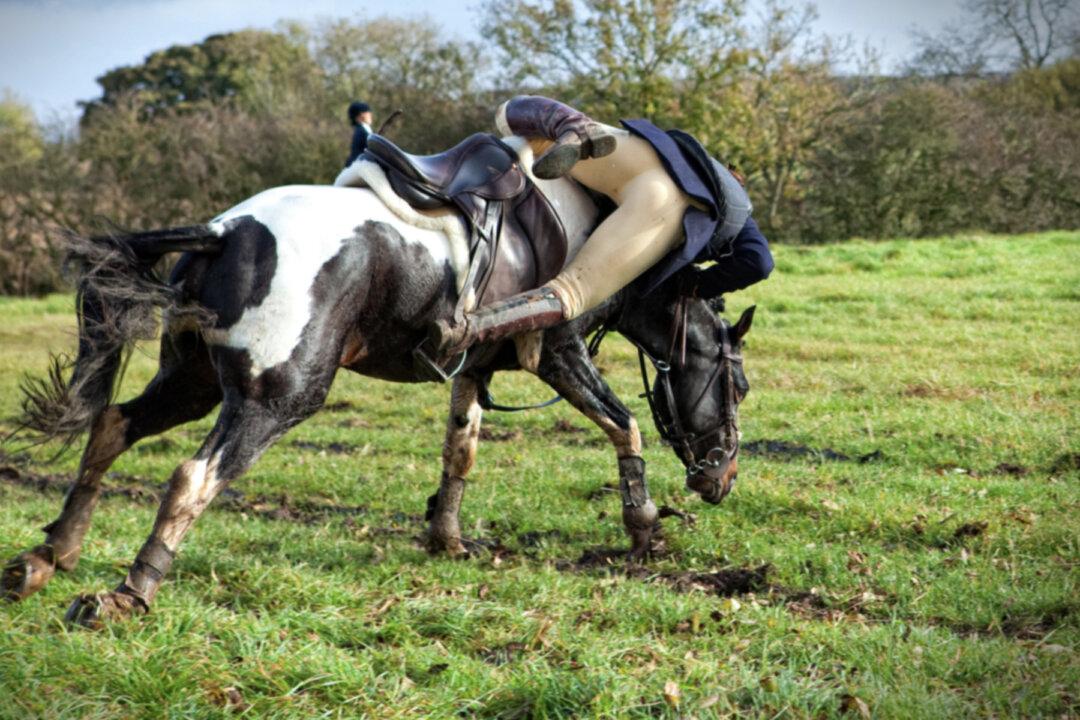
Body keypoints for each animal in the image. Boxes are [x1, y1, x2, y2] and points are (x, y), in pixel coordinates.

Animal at [2, 138, 755, 628]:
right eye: (740, 388)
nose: (721, 479)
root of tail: (226, 231)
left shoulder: (471, 369)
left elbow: (460, 451)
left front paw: (447, 539)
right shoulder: (560, 354)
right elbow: (623, 422)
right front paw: (645, 527)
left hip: (193, 381)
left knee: (112, 425)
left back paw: (51, 555)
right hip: (279, 396)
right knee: (192, 476)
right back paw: (129, 595)